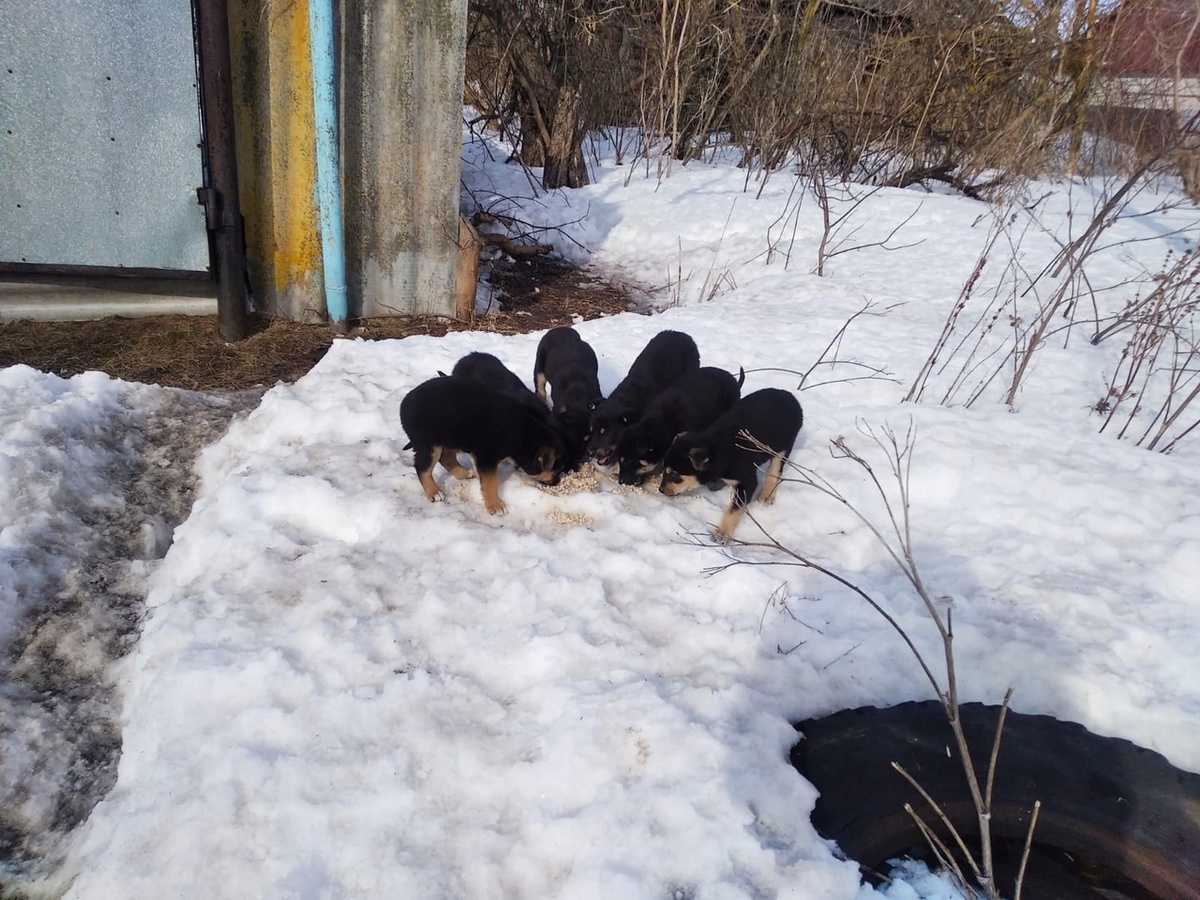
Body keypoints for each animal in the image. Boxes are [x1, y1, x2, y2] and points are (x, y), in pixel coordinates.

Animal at [393, 374, 561, 513]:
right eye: (556, 469)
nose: (558, 482)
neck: (524, 435)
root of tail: (403, 404)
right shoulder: (486, 456)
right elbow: (491, 481)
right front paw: (495, 506)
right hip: (429, 444)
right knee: (422, 468)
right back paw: (434, 492)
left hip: (451, 436)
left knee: (446, 457)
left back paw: (463, 473)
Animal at [662, 388, 801, 542]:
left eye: (674, 474)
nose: (661, 490)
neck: (716, 450)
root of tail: (790, 396)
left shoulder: (747, 482)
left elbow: (734, 509)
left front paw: (722, 533)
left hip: (784, 446)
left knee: (775, 470)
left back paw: (767, 495)